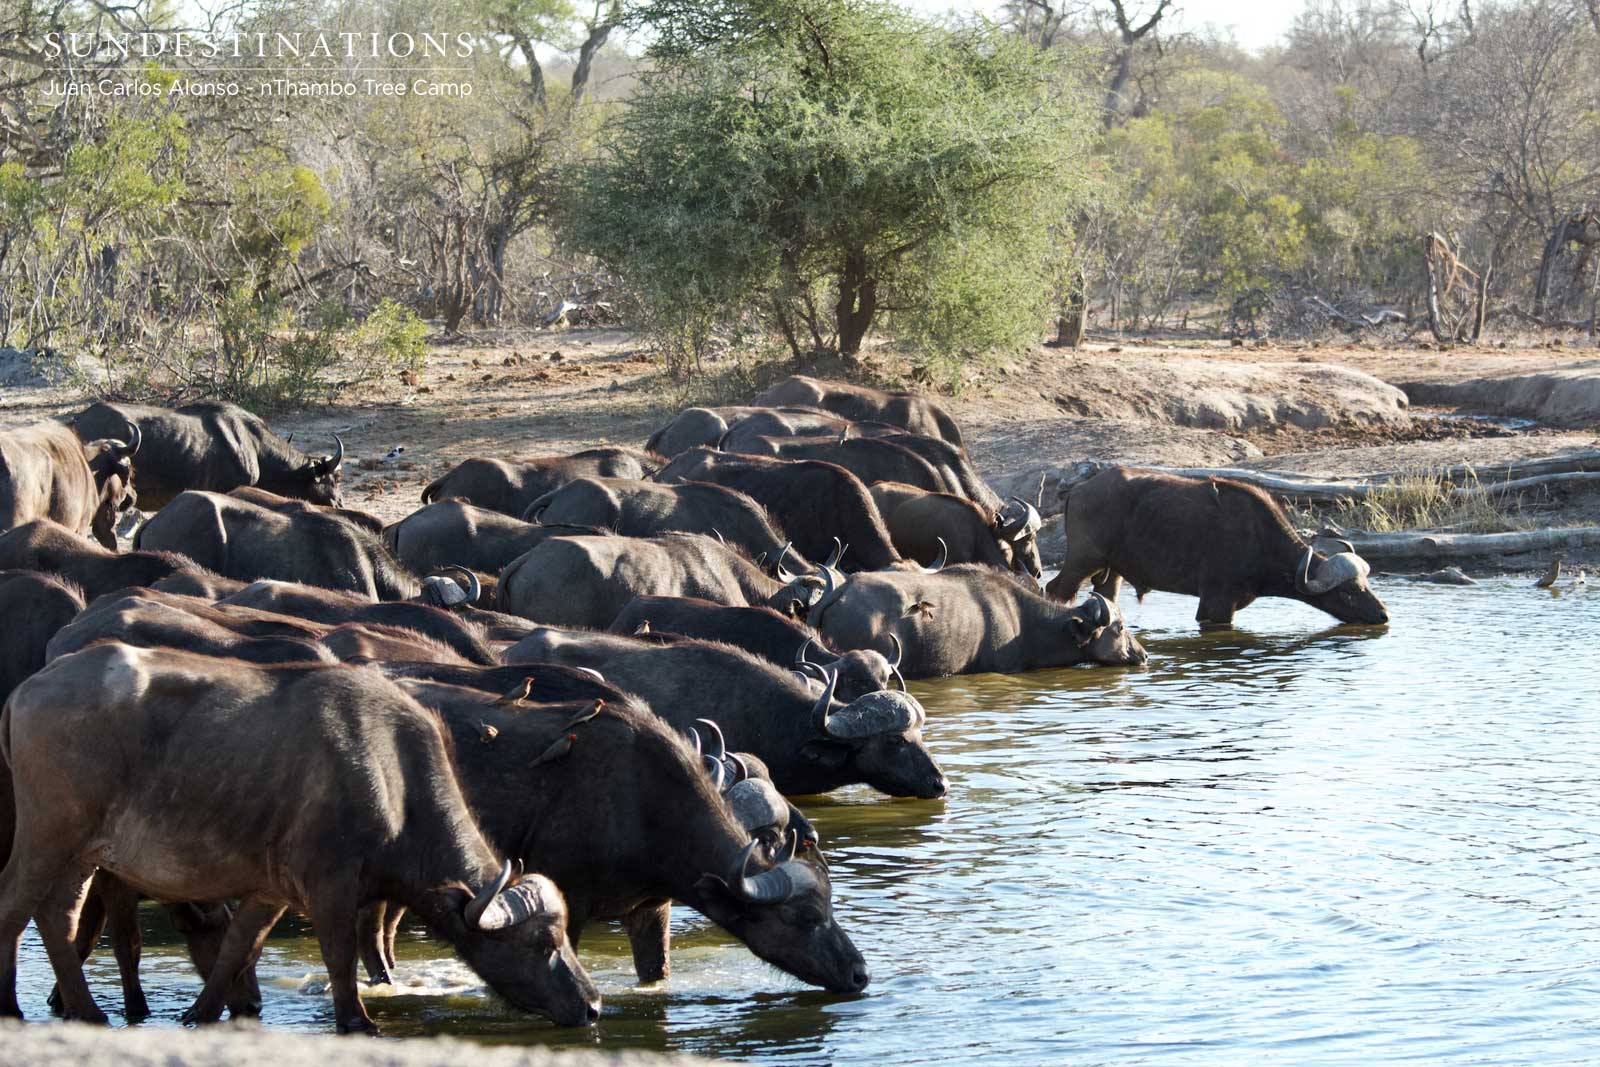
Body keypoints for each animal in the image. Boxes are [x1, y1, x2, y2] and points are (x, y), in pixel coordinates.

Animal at [0, 646, 600, 1031]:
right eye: (541, 943)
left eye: (566, 940)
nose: (592, 1007)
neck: (391, 774)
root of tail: (27, 688)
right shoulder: (328, 884)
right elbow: (339, 953)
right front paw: (356, 1019)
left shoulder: (272, 890)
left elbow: (238, 947)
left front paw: (203, 1011)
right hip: (47, 834)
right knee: (14, 905)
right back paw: (12, 1005)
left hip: (83, 853)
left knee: (58, 916)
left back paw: (86, 1010)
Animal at [1044, 467, 1390, 627]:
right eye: (1348, 592)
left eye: (1366, 584)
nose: (1383, 614)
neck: (1260, 543)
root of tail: (1079, 490)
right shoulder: (1215, 603)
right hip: (1081, 561)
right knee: (1054, 588)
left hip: (1110, 572)